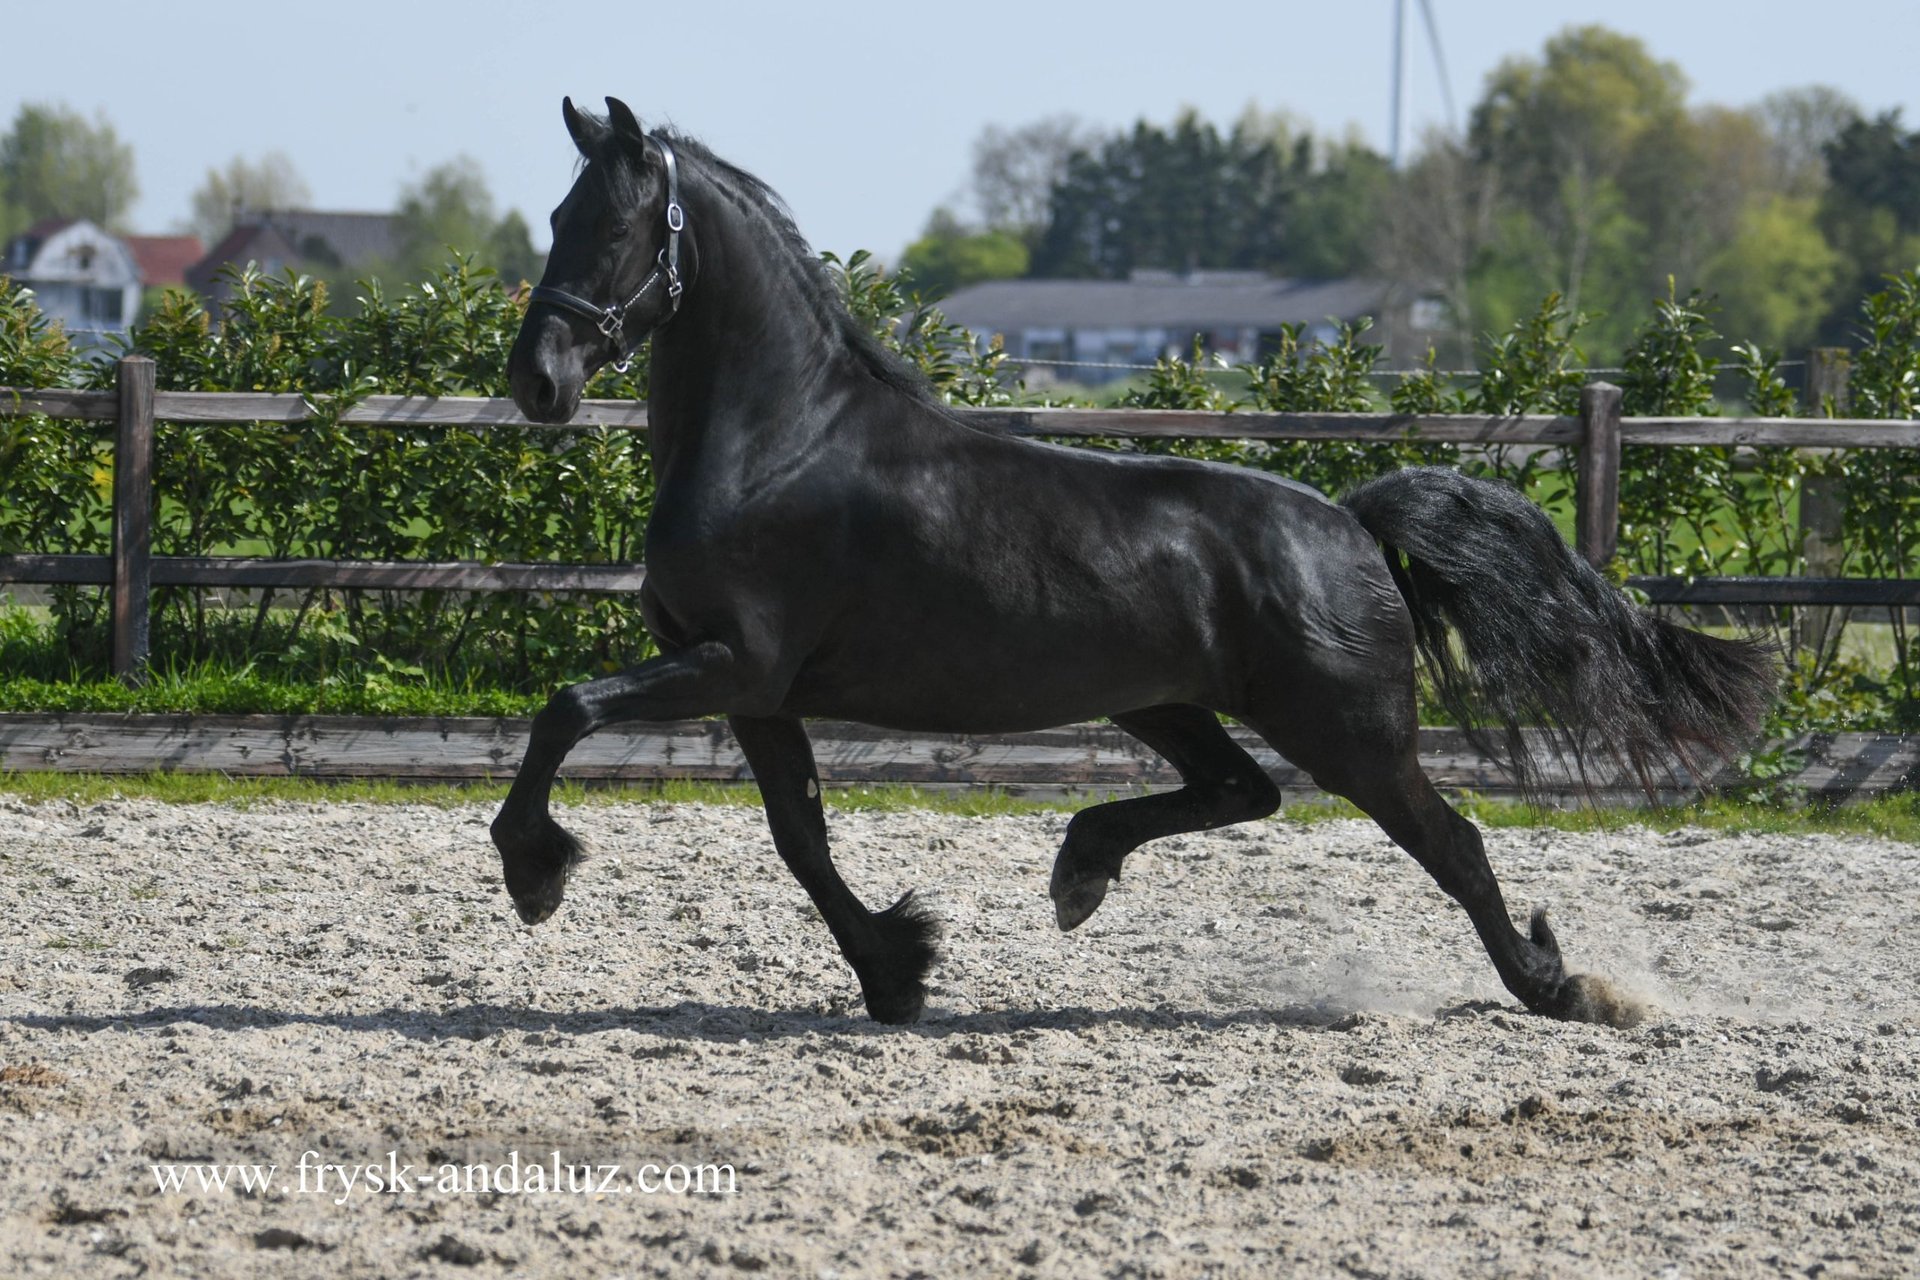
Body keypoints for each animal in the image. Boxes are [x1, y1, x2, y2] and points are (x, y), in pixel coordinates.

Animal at [491, 94, 1766, 1028]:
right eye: (555, 217)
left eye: (615, 227)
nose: (538, 382)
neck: (778, 442)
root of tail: (1351, 525)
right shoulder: (756, 689)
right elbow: (800, 836)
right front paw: (898, 970)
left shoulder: (736, 663)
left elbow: (566, 709)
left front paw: (535, 872)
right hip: (1167, 702)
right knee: (1244, 789)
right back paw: (1080, 868)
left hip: (1347, 729)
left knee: (1446, 840)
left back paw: (1561, 988)